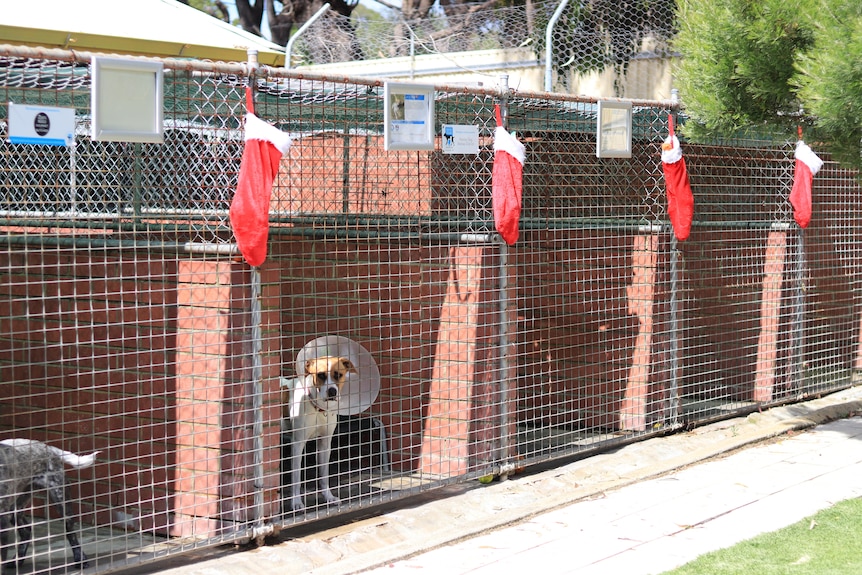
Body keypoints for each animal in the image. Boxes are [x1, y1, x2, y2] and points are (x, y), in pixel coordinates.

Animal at [0, 440, 99, 568]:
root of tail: (49, 448)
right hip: (15, 507)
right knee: (26, 530)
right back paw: (17, 560)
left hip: (60, 498)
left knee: (70, 531)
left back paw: (80, 559)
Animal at [284, 356, 358, 512]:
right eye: (321, 375)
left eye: (338, 375)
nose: (332, 391)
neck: (318, 408)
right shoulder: (297, 444)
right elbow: (296, 477)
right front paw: (296, 502)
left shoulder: (325, 443)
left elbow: (324, 474)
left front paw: (328, 497)